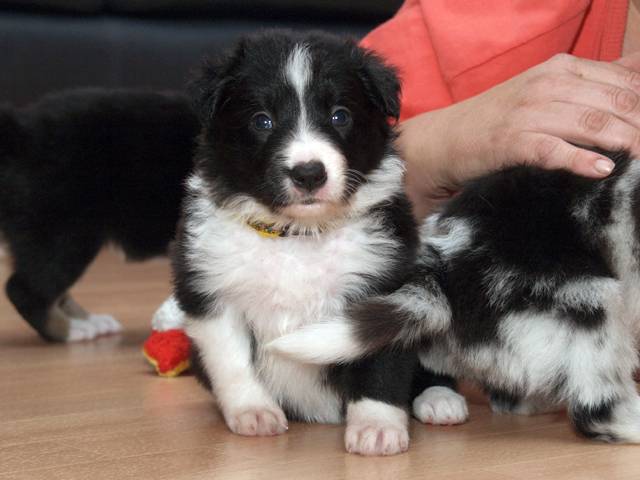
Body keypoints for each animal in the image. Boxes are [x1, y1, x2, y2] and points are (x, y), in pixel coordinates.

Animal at [170, 30, 467, 456]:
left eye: (339, 115)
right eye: (262, 120)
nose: (309, 173)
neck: (297, 236)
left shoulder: (388, 287)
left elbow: (381, 363)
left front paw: (377, 426)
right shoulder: (212, 290)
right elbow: (231, 361)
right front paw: (254, 412)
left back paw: (439, 399)